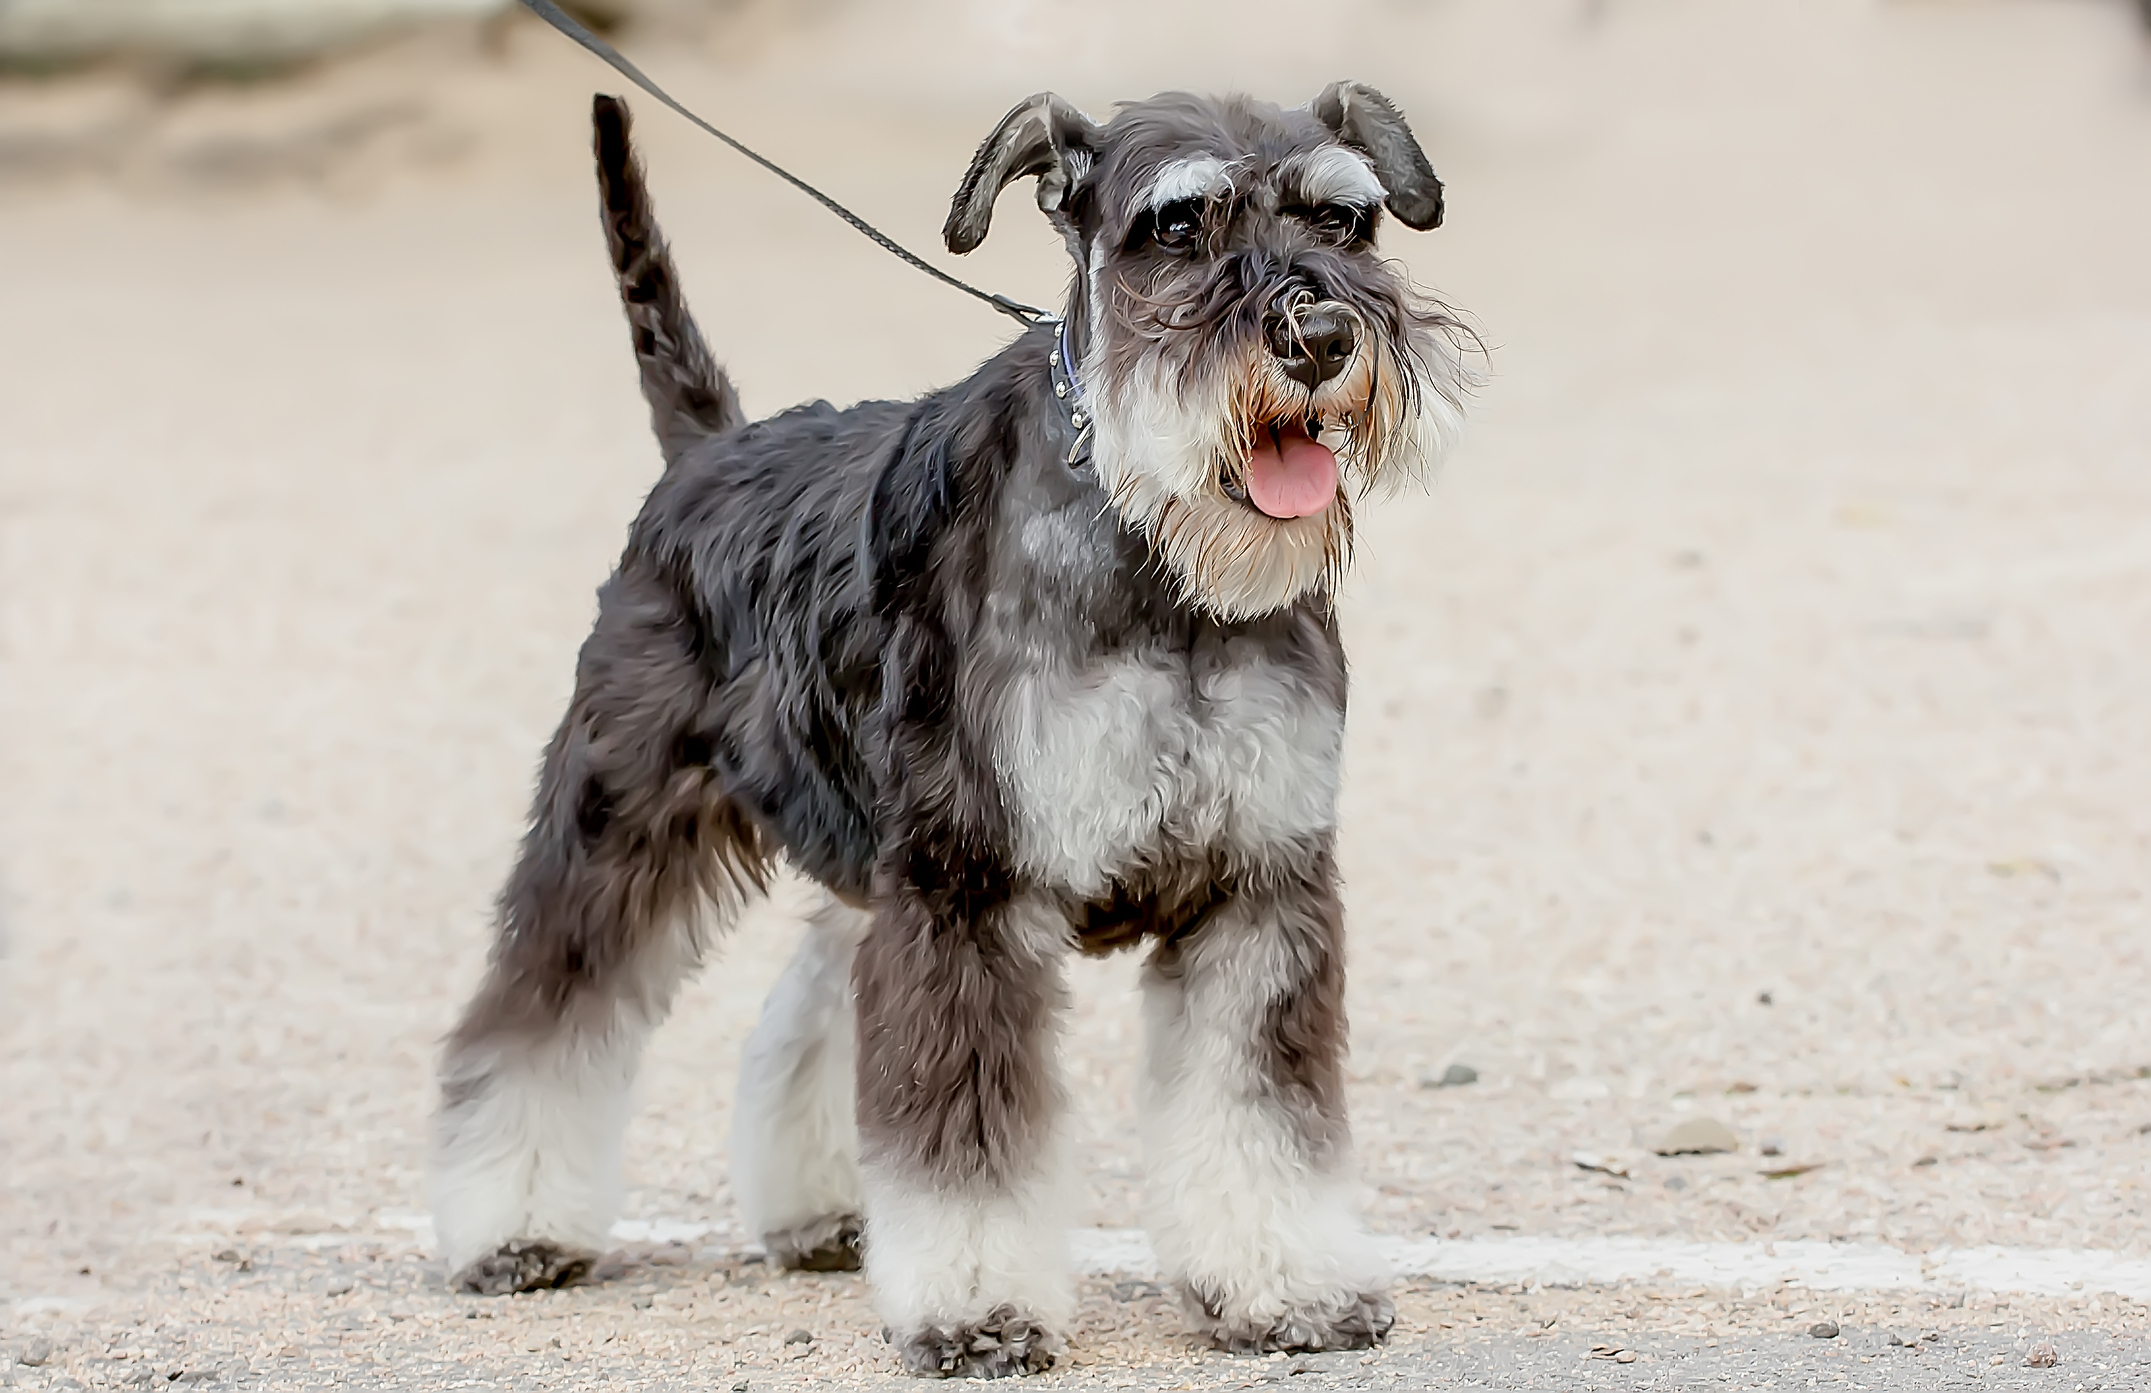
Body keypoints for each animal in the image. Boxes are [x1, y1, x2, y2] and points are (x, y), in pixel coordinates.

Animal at [432, 81, 1479, 1375]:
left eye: (1347, 221)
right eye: (1178, 226)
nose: (1322, 338)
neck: (1151, 552)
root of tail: (708, 448)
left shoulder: (1257, 883)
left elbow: (1260, 1115)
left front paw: (1290, 1283)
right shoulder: (968, 881)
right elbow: (964, 1132)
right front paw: (976, 1307)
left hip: (865, 843)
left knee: (812, 1004)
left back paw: (819, 1212)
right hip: (619, 820)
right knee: (536, 1012)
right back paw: (513, 1228)